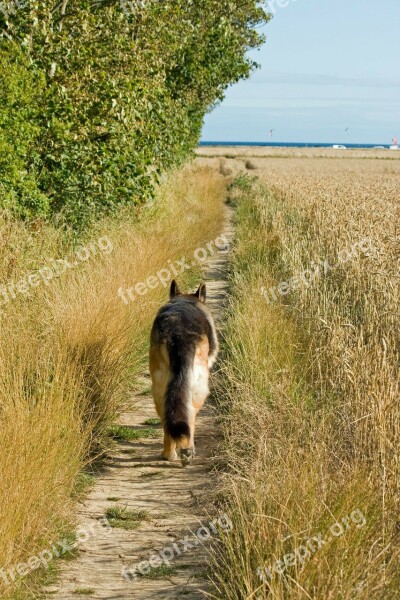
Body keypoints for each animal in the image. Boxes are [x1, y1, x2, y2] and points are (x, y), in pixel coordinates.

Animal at [149, 278, 219, 466]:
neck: (186, 299)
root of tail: (178, 334)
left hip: (159, 386)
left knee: (168, 418)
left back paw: (170, 453)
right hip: (199, 387)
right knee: (190, 415)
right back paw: (184, 450)